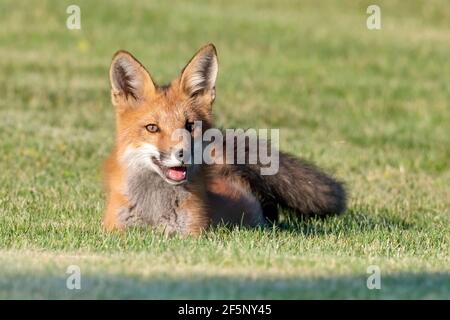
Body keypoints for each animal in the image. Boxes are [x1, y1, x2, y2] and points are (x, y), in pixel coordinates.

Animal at [103, 43, 346, 236]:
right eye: (152, 128)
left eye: (189, 126)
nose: (183, 153)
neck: (154, 210)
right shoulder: (115, 231)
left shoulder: (192, 234)